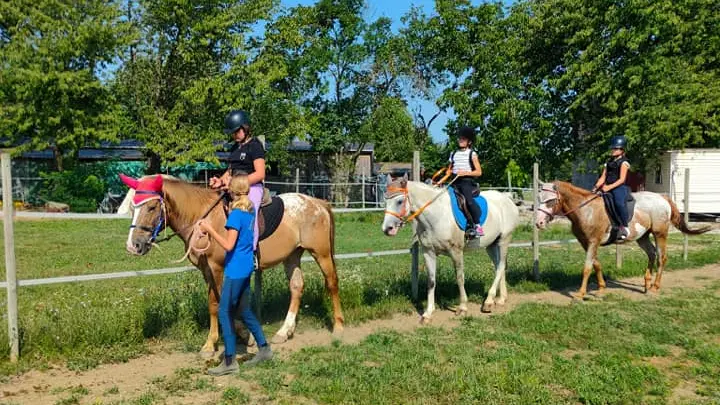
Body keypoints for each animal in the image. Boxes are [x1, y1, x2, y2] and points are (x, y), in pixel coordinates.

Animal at [121, 172, 346, 356]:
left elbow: (220, 302)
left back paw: (338, 327)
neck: (204, 218)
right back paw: (284, 331)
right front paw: (238, 336)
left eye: (151, 207)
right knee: (297, 287)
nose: (134, 245)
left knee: (332, 283)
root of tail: (318, 203)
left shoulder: (217, 267)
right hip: (292, 255)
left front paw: (219, 342)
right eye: (133, 207)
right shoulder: (207, 271)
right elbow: (216, 303)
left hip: (321, 253)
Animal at [380, 174, 520, 318]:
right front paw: (428, 313)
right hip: (491, 245)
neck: (436, 216)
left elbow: (459, 278)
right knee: (499, 266)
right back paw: (501, 299)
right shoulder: (428, 252)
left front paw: (462, 307)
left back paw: (488, 301)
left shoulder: (456, 252)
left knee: (501, 266)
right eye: (385, 201)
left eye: (399, 201)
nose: (387, 229)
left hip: (504, 240)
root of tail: (507, 198)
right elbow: (431, 281)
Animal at [536, 180, 708, 296]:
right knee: (652, 254)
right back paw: (647, 284)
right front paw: (601, 288)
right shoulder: (586, 242)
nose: (539, 223)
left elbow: (587, 267)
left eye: (550, 200)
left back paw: (655, 287)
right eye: (539, 198)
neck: (586, 209)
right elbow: (596, 264)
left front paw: (580, 294)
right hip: (642, 237)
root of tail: (662, 198)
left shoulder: (593, 241)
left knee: (661, 257)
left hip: (660, 233)